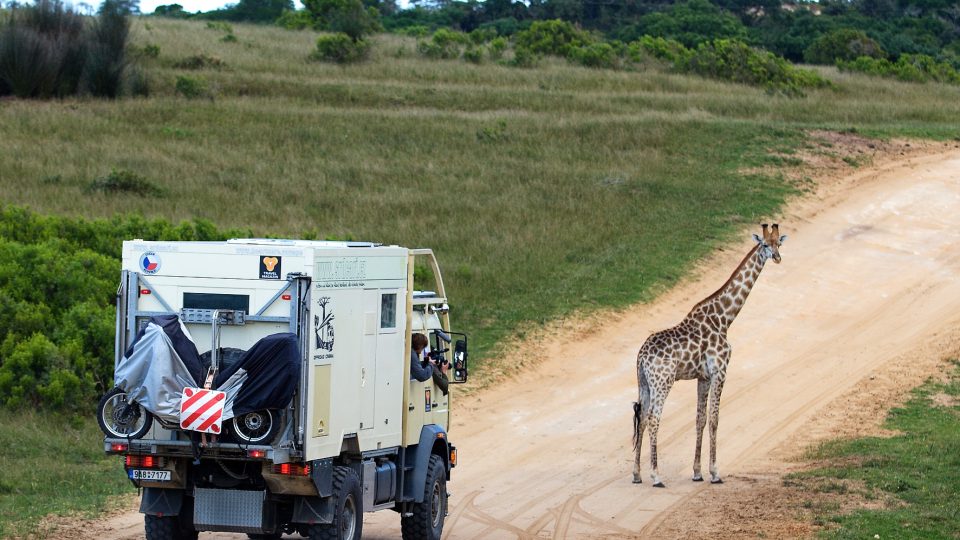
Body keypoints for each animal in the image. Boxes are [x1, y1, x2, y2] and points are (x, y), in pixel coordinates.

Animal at [632, 221, 788, 488]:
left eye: (779, 243)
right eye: (765, 245)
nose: (777, 258)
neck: (724, 318)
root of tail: (642, 357)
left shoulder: (703, 377)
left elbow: (700, 419)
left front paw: (697, 472)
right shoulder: (720, 371)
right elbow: (715, 419)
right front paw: (715, 473)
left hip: (643, 382)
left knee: (641, 416)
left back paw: (637, 474)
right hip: (662, 382)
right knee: (653, 417)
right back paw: (656, 476)